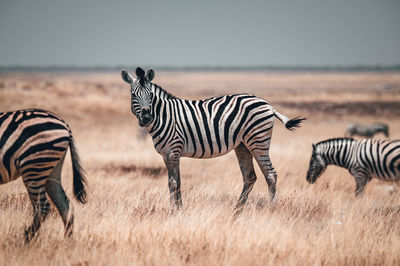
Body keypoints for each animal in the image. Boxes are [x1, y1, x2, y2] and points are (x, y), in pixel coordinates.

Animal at [0, 109, 87, 242]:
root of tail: (64, 124)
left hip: (34, 166)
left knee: (43, 207)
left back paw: (26, 239)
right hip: (52, 170)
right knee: (65, 206)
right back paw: (67, 242)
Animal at [120, 67, 304, 213]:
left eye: (150, 95)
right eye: (133, 95)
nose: (146, 118)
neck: (165, 116)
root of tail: (268, 105)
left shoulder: (173, 151)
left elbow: (173, 183)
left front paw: (174, 211)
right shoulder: (167, 155)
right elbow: (177, 181)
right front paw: (179, 209)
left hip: (258, 141)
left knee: (270, 174)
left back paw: (271, 209)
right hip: (243, 145)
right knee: (250, 177)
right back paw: (236, 211)